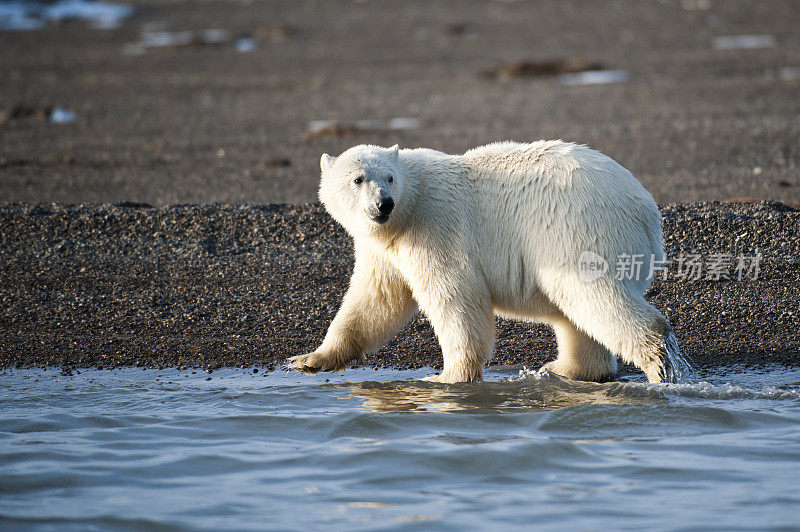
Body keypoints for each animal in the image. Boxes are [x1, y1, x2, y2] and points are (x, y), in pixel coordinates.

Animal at [288, 141, 676, 382]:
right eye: (358, 179)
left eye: (389, 177)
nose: (383, 203)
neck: (407, 209)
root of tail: (646, 211)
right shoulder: (383, 249)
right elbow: (374, 302)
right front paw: (309, 360)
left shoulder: (434, 227)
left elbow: (455, 297)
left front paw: (447, 376)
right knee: (576, 315)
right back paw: (565, 369)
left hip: (578, 229)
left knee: (591, 296)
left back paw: (657, 360)